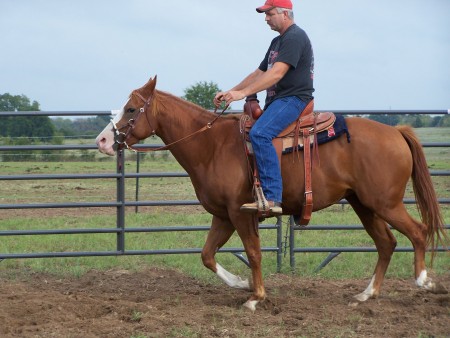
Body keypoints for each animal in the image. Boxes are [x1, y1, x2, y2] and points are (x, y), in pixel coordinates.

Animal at [96, 76, 446, 312]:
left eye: (130, 108)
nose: (102, 141)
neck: (212, 145)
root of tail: (396, 132)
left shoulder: (240, 213)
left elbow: (253, 252)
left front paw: (256, 297)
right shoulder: (224, 215)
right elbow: (208, 255)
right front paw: (242, 284)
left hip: (385, 203)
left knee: (418, 231)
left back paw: (424, 280)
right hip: (364, 204)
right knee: (386, 243)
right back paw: (366, 294)